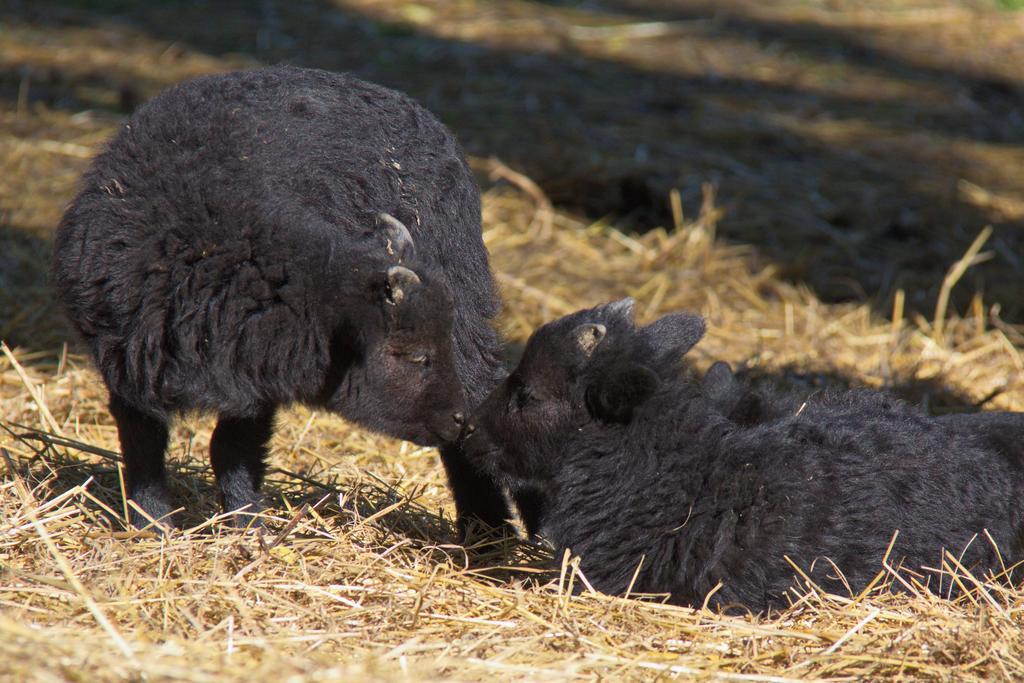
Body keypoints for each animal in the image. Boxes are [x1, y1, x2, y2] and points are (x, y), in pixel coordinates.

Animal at [51, 66, 516, 532]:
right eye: (415, 356)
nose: (457, 419)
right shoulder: (138, 364)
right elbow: (144, 447)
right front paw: (153, 525)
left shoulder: (259, 369)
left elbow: (231, 449)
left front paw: (248, 525)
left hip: (465, 300)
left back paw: (487, 528)